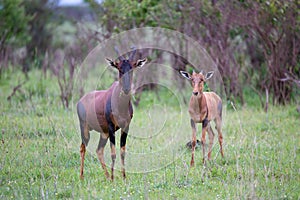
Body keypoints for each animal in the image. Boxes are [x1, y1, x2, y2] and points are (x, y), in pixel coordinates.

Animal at [77, 47, 148, 180]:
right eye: (119, 69)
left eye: (132, 68)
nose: (126, 89)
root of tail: (81, 100)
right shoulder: (111, 127)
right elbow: (113, 153)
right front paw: (114, 178)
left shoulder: (125, 127)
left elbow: (122, 152)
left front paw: (123, 177)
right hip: (85, 128)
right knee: (83, 148)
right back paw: (82, 176)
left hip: (103, 133)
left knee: (99, 150)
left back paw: (107, 176)